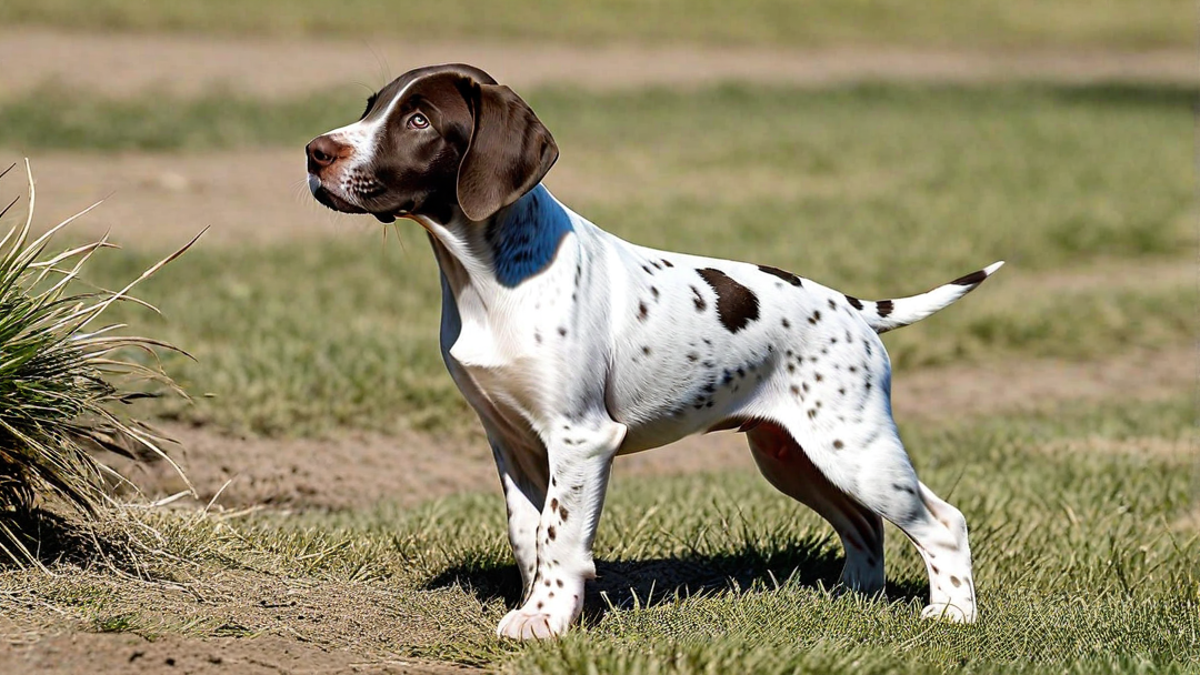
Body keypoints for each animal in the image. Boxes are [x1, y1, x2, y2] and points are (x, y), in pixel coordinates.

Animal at [304, 63, 998, 634]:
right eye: (372, 106)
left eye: (418, 120)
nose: (314, 153)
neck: (489, 278)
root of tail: (855, 310)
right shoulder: (511, 439)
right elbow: (529, 534)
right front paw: (538, 607)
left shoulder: (581, 439)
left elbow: (560, 537)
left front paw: (546, 620)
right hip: (790, 453)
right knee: (864, 524)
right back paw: (855, 598)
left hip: (853, 447)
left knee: (942, 521)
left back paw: (952, 615)